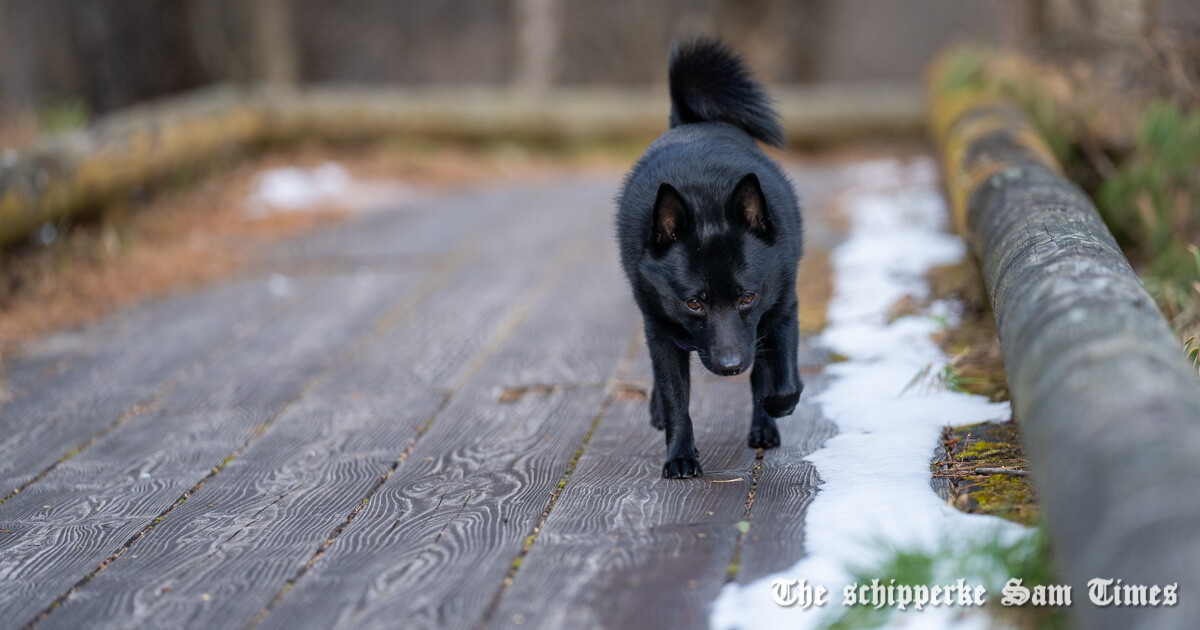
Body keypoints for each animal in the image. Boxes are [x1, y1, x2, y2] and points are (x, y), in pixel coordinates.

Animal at [619, 36, 806, 477]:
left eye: (747, 296)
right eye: (694, 303)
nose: (730, 365)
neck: (705, 194)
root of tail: (691, 121)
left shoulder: (782, 309)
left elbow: (784, 382)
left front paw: (773, 408)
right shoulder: (660, 328)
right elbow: (676, 397)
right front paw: (680, 456)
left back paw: (763, 424)